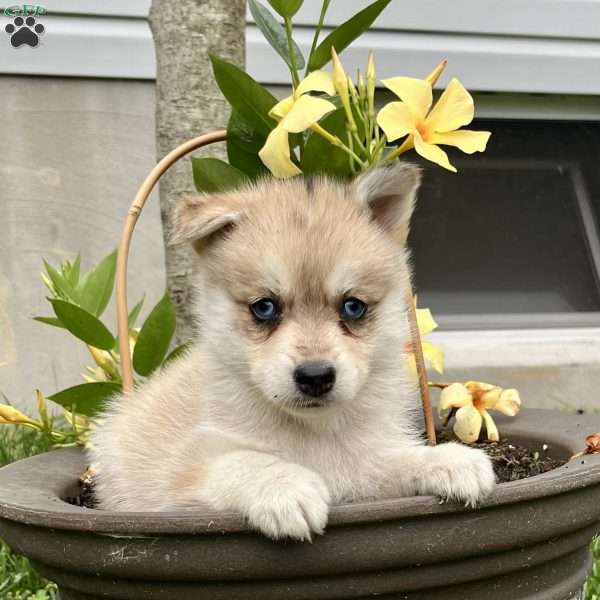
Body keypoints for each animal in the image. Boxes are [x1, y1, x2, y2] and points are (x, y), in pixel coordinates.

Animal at [89, 162, 492, 540]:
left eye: (353, 306)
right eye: (264, 307)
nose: (315, 377)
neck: (313, 434)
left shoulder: (360, 467)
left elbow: (395, 459)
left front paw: (447, 460)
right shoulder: (179, 482)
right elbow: (238, 460)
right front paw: (285, 487)